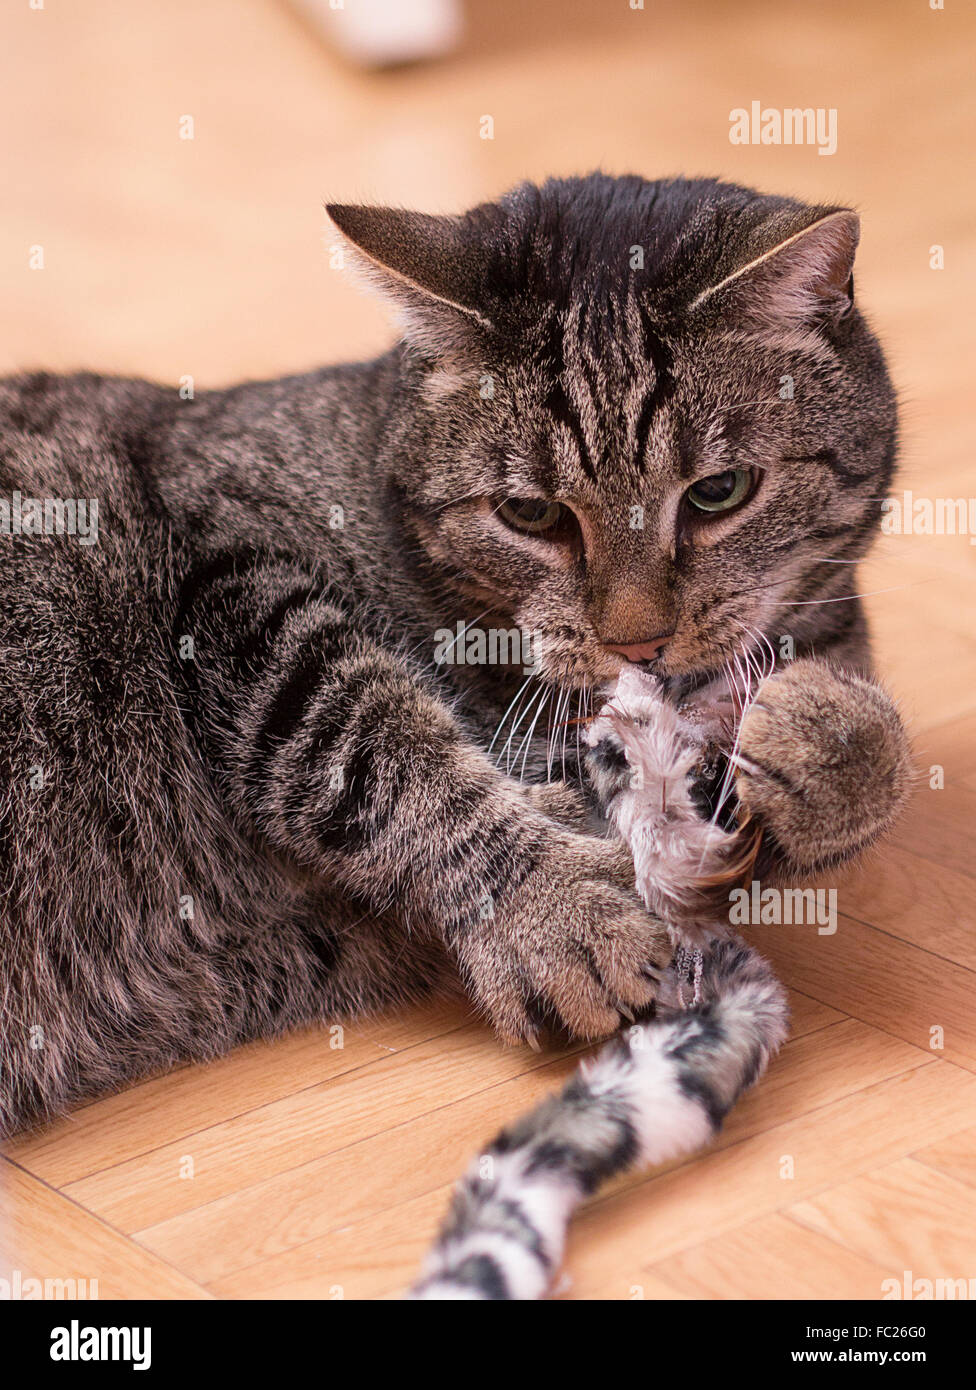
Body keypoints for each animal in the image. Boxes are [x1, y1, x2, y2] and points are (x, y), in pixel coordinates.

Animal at [1, 170, 917, 1139]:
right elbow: (381, 751)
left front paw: (832, 737)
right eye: (530, 514)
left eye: (719, 492)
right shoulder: (235, 581)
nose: (637, 638)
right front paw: (553, 912)